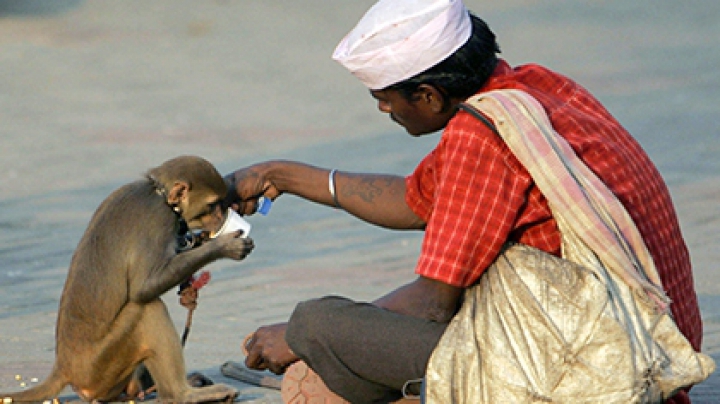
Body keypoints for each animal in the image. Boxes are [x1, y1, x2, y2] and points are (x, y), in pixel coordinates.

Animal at [0, 156, 253, 402]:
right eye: (212, 205)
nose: (222, 217)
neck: (157, 192)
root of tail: (64, 368)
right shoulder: (159, 218)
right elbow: (144, 287)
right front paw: (224, 246)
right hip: (100, 365)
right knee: (146, 308)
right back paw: (182, 394)